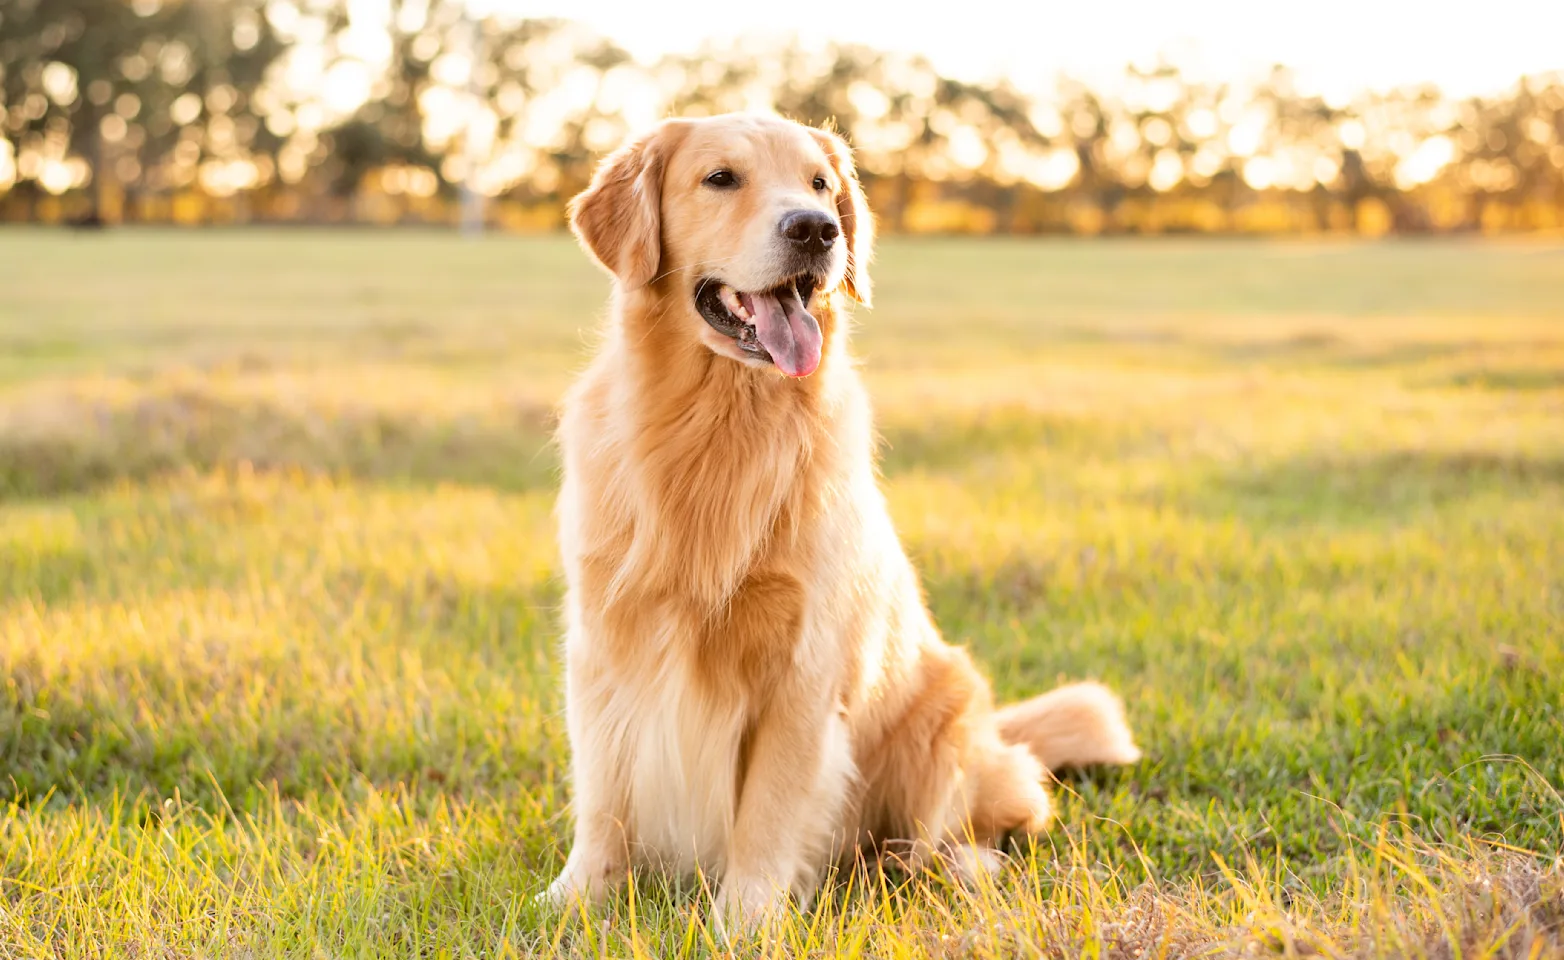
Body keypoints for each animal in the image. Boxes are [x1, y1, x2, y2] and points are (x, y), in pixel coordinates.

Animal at [547, 114, 1138, 931]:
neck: (720, 423)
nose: (815, 230)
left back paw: (948, 865)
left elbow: (766, 812)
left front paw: (746, 922)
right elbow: (603, 794)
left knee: (989, 820)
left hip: (945, 714)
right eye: (720, 178)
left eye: (821, 185)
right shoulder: (605, 645)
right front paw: (575, 898)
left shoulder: (803, 668)